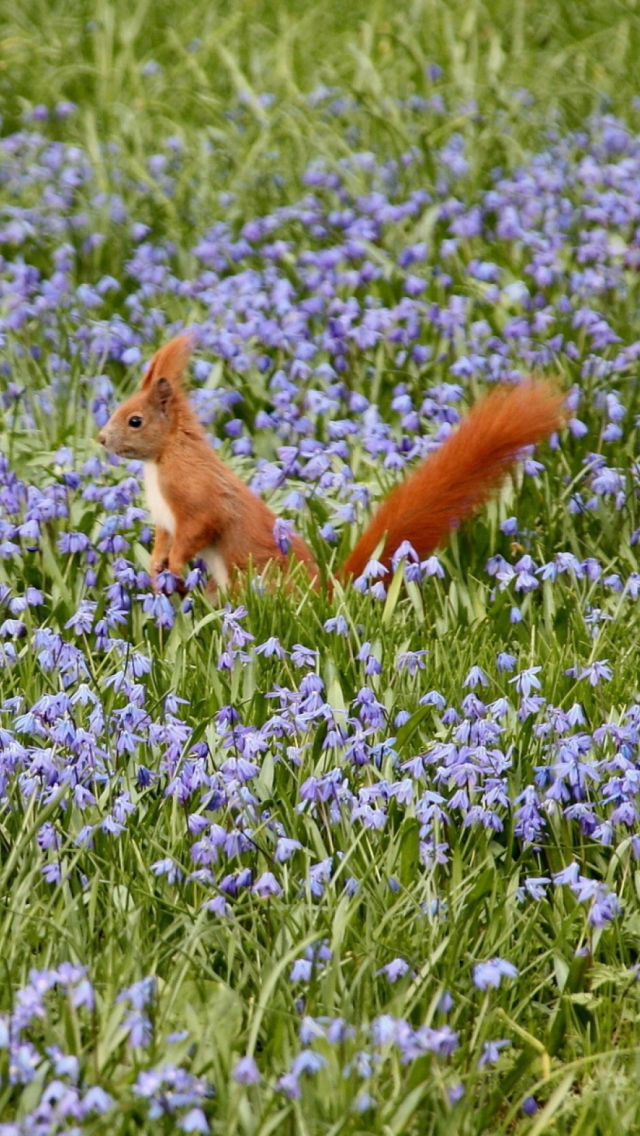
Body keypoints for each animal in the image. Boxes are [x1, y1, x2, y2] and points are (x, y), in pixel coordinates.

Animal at [97, 333, 563, 595]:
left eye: (135, 420)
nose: (101, 438)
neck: (162, 460)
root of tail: (323, 598)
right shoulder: (165, 518)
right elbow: (163, 539)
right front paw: (156, 567)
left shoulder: (195, 496)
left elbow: (200, 527)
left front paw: (174, 566)